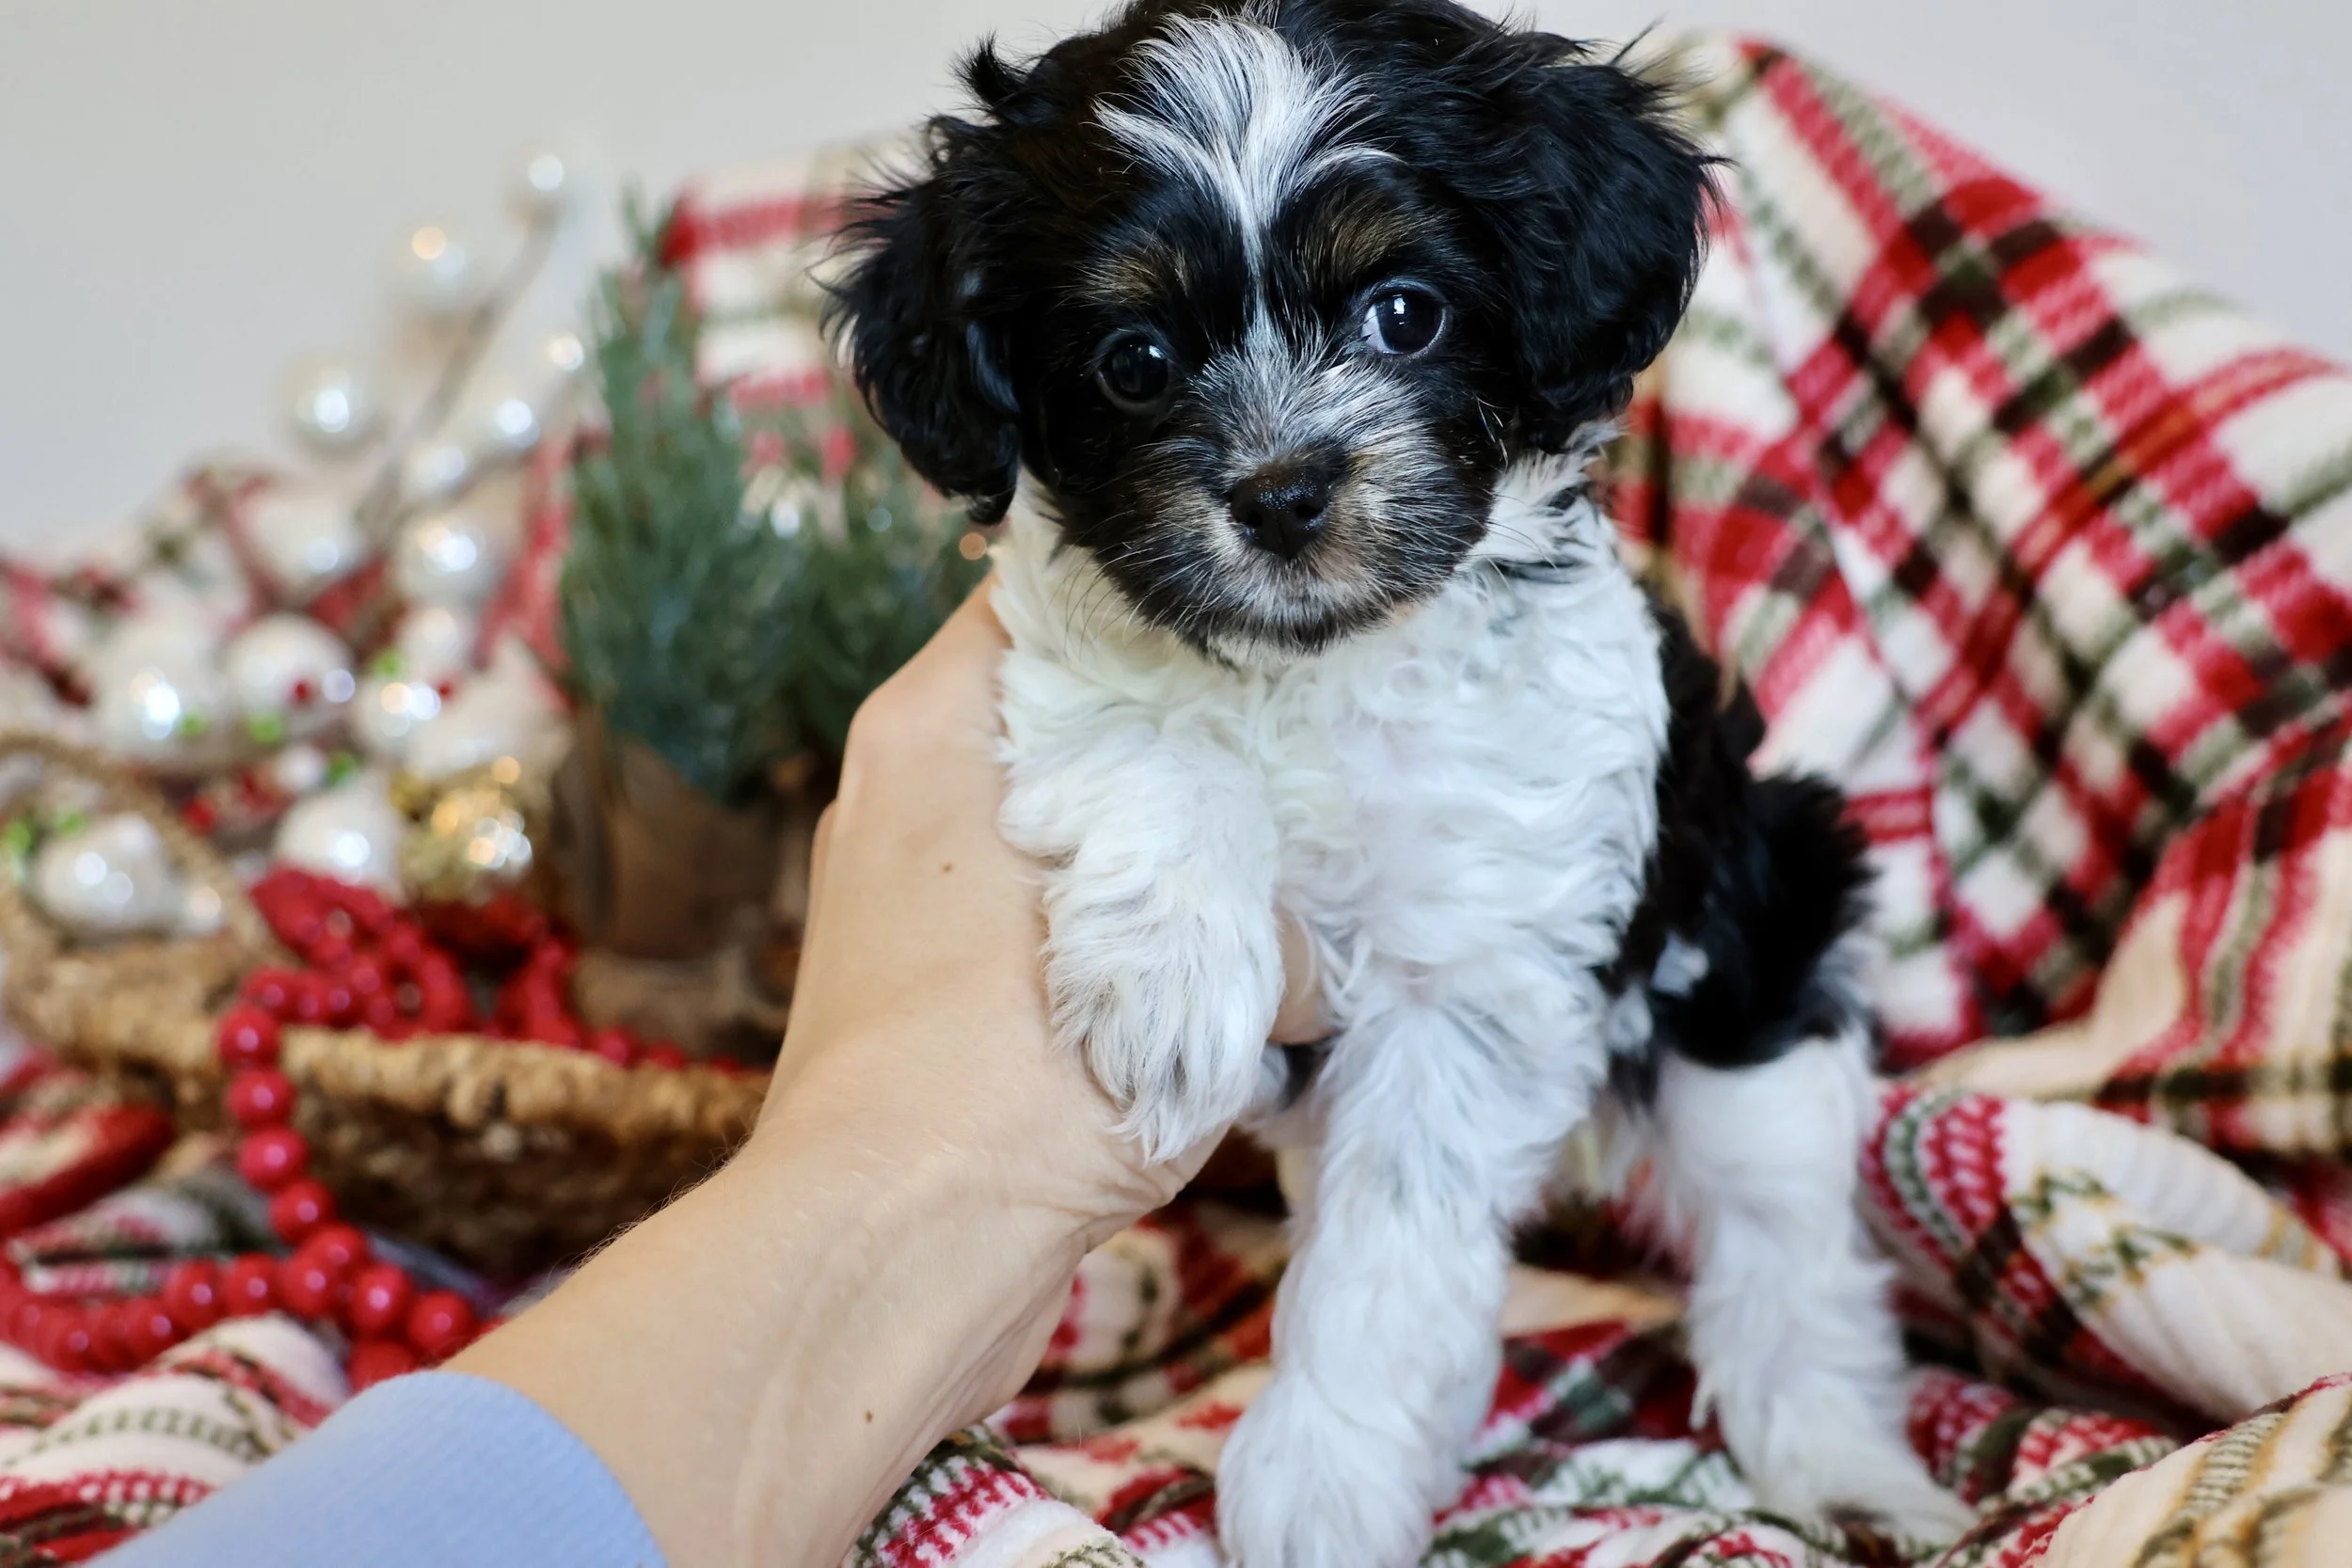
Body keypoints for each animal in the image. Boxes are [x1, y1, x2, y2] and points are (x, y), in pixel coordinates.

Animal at [832, 3, 1971, 1562]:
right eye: (1135, 358)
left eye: (1405, 314)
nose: (1281, 492)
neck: (1321, 666)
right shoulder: (1063, 664)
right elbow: (1147, 733)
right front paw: (1174, 981)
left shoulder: (1480, 958)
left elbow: (1395, 1235)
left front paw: (1324, 1479)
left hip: (1762, 943)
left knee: (1787, 1252)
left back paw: (1848, 1463)